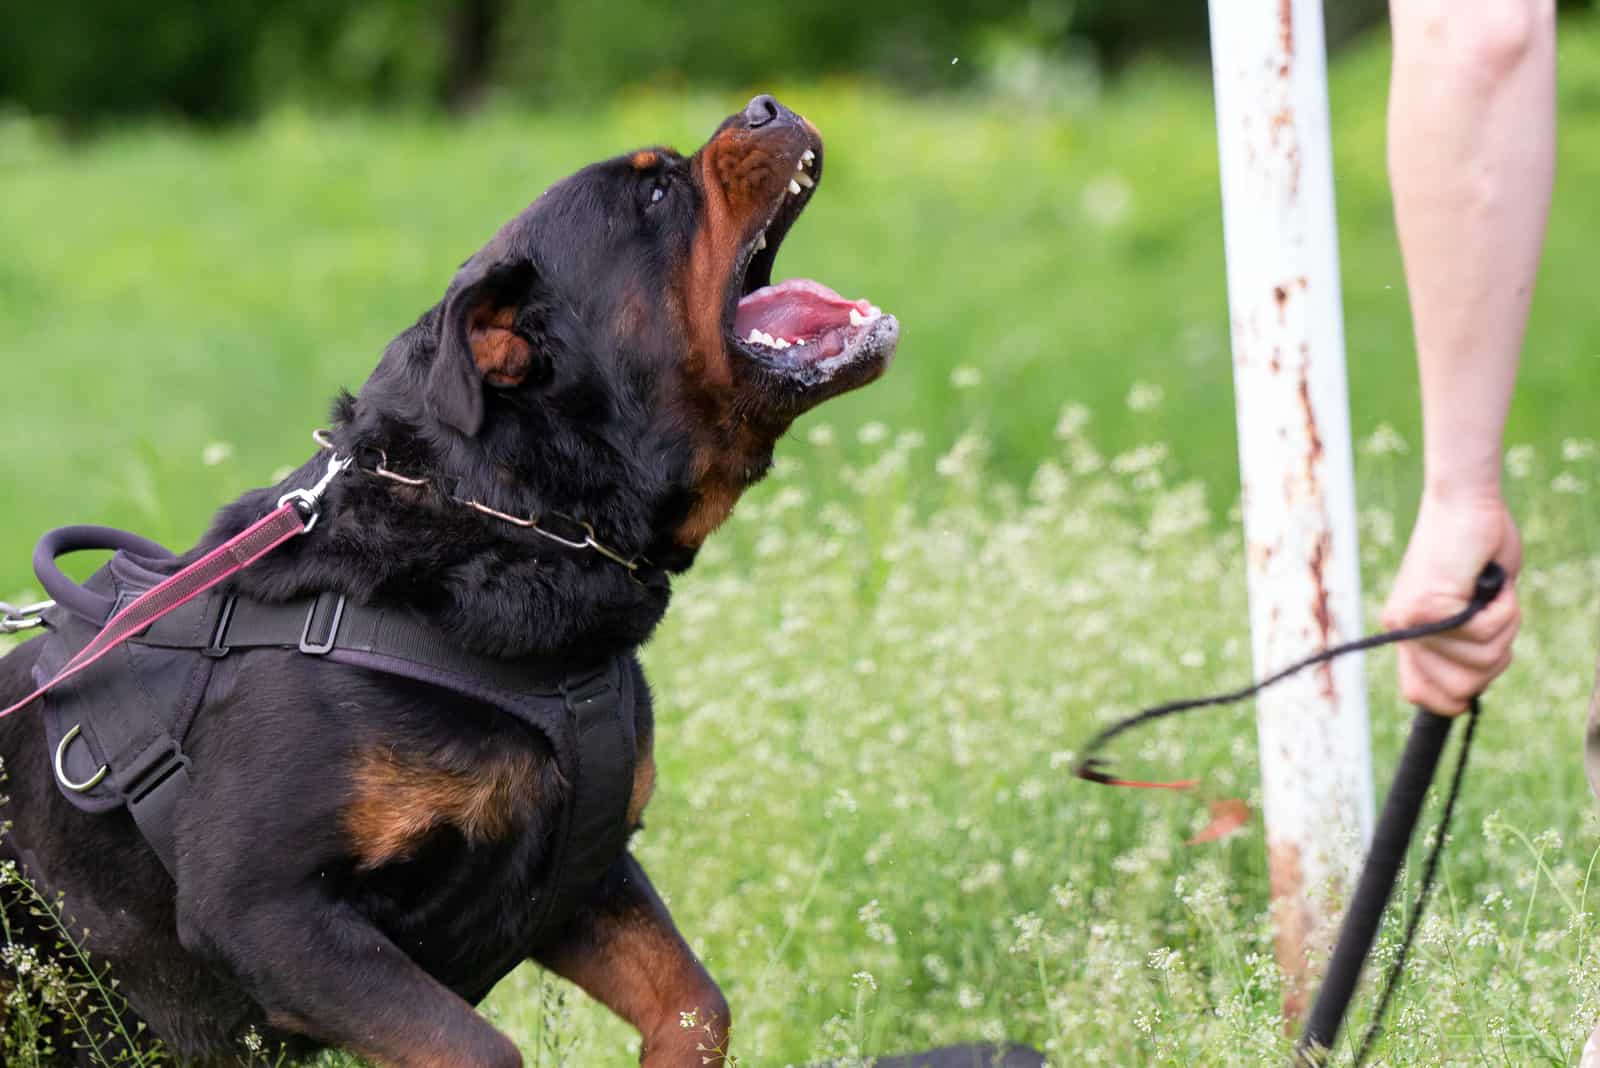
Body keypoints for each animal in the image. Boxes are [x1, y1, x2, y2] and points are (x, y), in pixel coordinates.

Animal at [0, 95, 902, 1061]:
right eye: (656, 193)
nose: (765, 107)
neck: (500, 521)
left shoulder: (580, 876)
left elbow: (695, 1001)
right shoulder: (265, 911)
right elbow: (480, 1045)